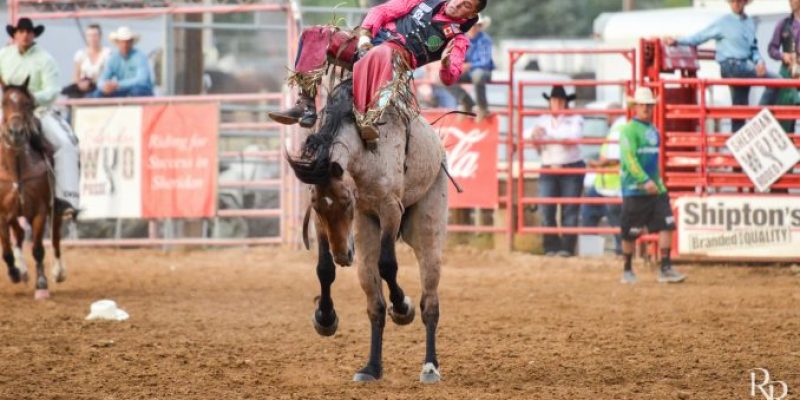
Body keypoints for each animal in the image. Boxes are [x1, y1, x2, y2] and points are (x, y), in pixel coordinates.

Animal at [0, 78, 65, 298]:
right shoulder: (2, 213)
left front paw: (42, 283)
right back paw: (21, 270)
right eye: (3, 102)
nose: (15, 133)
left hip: (54, 209)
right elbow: (6, 250)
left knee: (55, 236)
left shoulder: (39, 211)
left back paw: (58, 271)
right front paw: (14, 272)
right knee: (19, 234)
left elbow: (38, 248)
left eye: (27, 104)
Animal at [290, 79, 450, 382]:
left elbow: (388, 265)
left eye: (346, 201)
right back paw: (372, 368)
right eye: (317, 206)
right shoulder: (323, 220)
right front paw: (325, 318)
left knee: (430, 302)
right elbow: (324, 269)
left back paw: (430, 366)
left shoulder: (390, 209)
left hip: (428, 228)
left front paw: (402, 307)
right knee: (375, 304)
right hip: (365, 235)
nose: (343, 256)